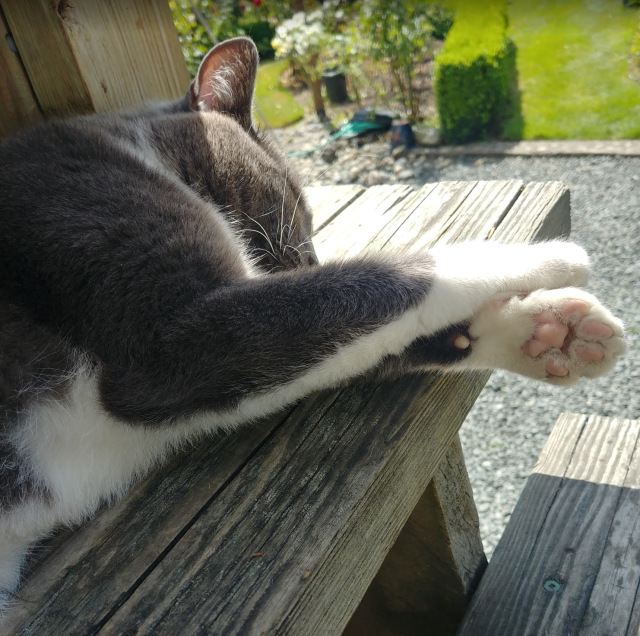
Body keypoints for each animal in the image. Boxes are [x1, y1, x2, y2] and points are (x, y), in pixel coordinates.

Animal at [0, 37, 624, 612]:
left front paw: (545, 332)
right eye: (295, 201)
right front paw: (543, 256)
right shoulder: (172, 335)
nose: (312, 259)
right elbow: (383, 280)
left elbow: (367, 341)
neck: (132, 146)